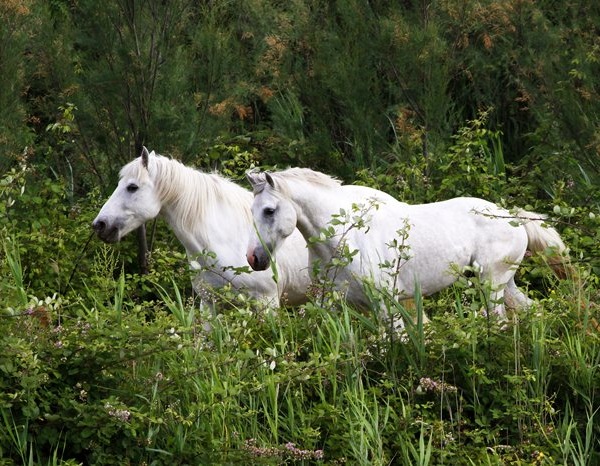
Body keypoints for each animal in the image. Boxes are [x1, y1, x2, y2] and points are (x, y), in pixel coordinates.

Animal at [245, 169, 568, 318]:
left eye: (269, 210)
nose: (253, 258)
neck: (343, 241)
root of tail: (512, 216)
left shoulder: (385, 303)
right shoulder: (334, 304)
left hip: (492, 286)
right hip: (505, 284)